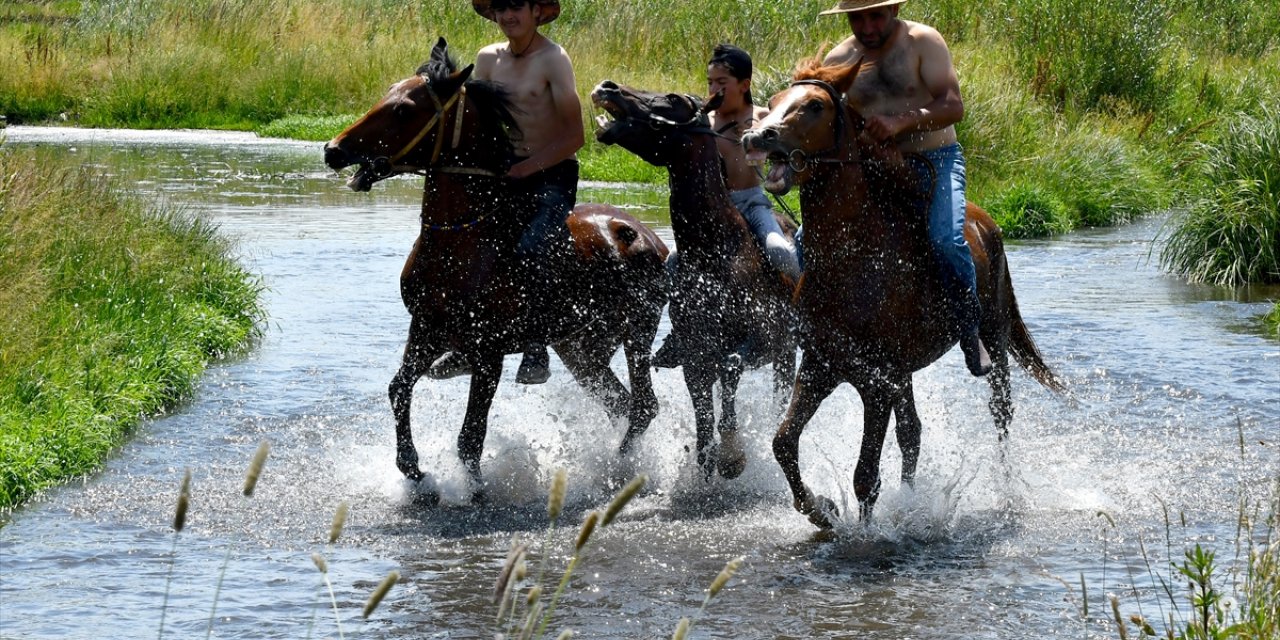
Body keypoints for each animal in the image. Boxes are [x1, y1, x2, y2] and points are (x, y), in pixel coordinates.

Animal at [322, 40, 670, 499]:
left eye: (402, 110)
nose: (333, 150)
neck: (463, 239)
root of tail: (652, 240)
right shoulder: (426, 328)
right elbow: (398, 388)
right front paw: (414, 471)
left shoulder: (489, 353)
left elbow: (471, 435)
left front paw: (472, 489)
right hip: (583, 349)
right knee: (623, 403)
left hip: (636, 330)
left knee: (644, 405)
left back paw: (618, 469)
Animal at [591, 81, 793, 481]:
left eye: (672, 100)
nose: (608, 87)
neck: (714, 252)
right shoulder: (695, 358)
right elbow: (703, 417)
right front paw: (706, 465)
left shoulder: (764, 342)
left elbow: (731, 368)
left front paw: (733, 456)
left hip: (786, 353)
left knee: (779, 397)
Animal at [742, 58, 1059, 529]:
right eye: (776, 100)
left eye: (814, 105)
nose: (757, 136)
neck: (852, 259)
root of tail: (986, 222)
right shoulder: (822, 367)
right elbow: (783, 443)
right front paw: (821, 509)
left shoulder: (877, 382)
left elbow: (865, 475)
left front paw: (862, 531)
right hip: (904, 373)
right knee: (912, 432)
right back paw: (911, 499)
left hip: (995, 338)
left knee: (1000, 412)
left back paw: (1008, 494)